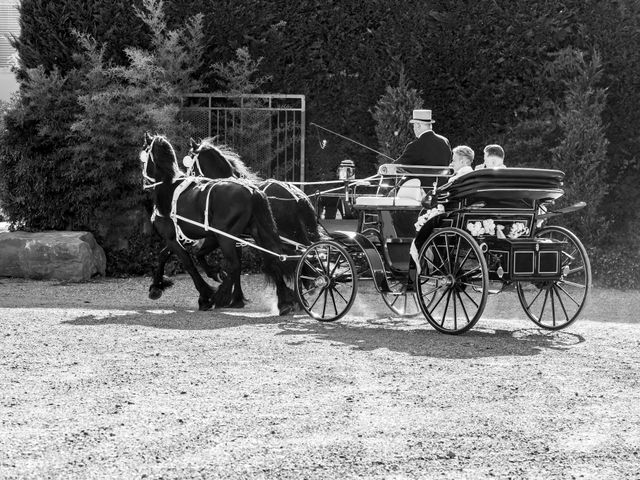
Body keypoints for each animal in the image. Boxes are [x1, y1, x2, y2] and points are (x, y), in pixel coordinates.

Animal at [141, 134, 296, 316]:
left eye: (143, 153)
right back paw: (284, 302)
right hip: (257, 233)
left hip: (227, 238)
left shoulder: (174, 238)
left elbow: (189, 263)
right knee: (273, 259)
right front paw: (156, 287)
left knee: (236, 265)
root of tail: (252, 191)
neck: (169, 188)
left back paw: (221, 297)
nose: (144, 183)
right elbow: (168, 255)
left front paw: (206, 295)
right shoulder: (190, 237)